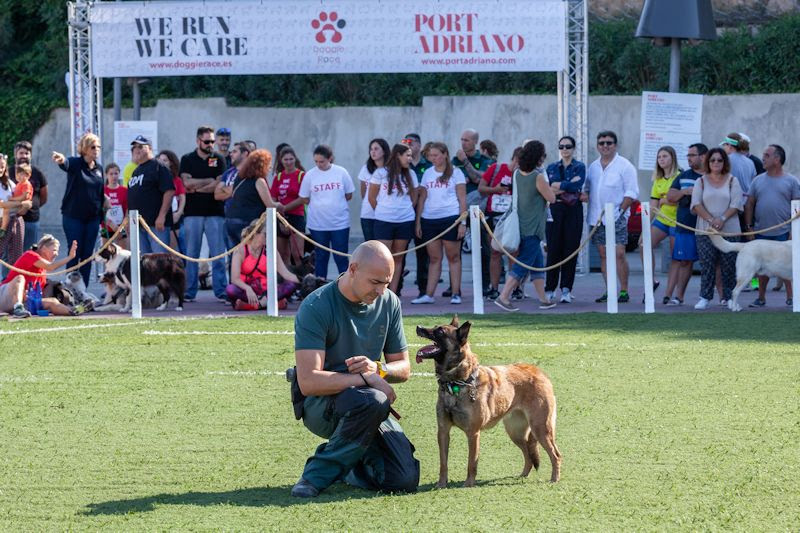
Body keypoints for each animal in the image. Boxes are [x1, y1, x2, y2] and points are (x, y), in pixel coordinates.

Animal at [416, 316, 560, 486]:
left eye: (440, 331)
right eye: (435, 326)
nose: (418, 327)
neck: (457, 382)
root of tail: (539, 372)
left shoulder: (473, 433)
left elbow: (471, 462)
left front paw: (469, 484)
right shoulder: (443, 432)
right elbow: (443, 463)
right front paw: (441, 484)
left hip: (541, 429)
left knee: (555, 455)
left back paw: (554, 478)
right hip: (515, 432)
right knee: (528, 453)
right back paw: (522, 475)